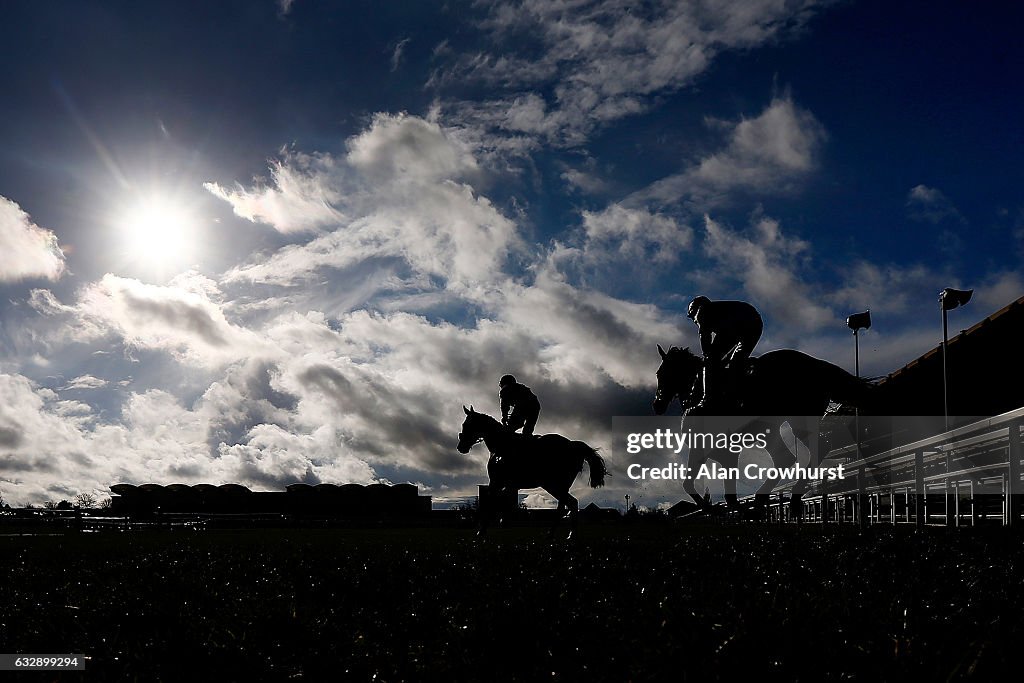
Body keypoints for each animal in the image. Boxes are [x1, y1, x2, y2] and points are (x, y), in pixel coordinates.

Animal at [458, 405, 606, 532]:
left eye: (466, 425)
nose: (461, 447)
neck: (500, 445)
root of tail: (573, 445)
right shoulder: (506, 484)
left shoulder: (496, 482)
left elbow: (490, 504)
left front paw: (481, 530)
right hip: (559, 485)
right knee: (567, 504)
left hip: (554, 484)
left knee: (570, 503)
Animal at [651, 344, 868, 516]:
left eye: (662, 374)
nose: (657, 404)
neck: (700, 397)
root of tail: (818, 365)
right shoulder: (708, 451)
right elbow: (700, 487)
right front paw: (714, 508)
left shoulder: (722, 451)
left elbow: (720, 493)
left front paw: (720, 509)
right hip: (773, 429)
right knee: (789, 457)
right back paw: (766, 500)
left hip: (797, 419)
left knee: (815, 449)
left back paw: (785, 497)